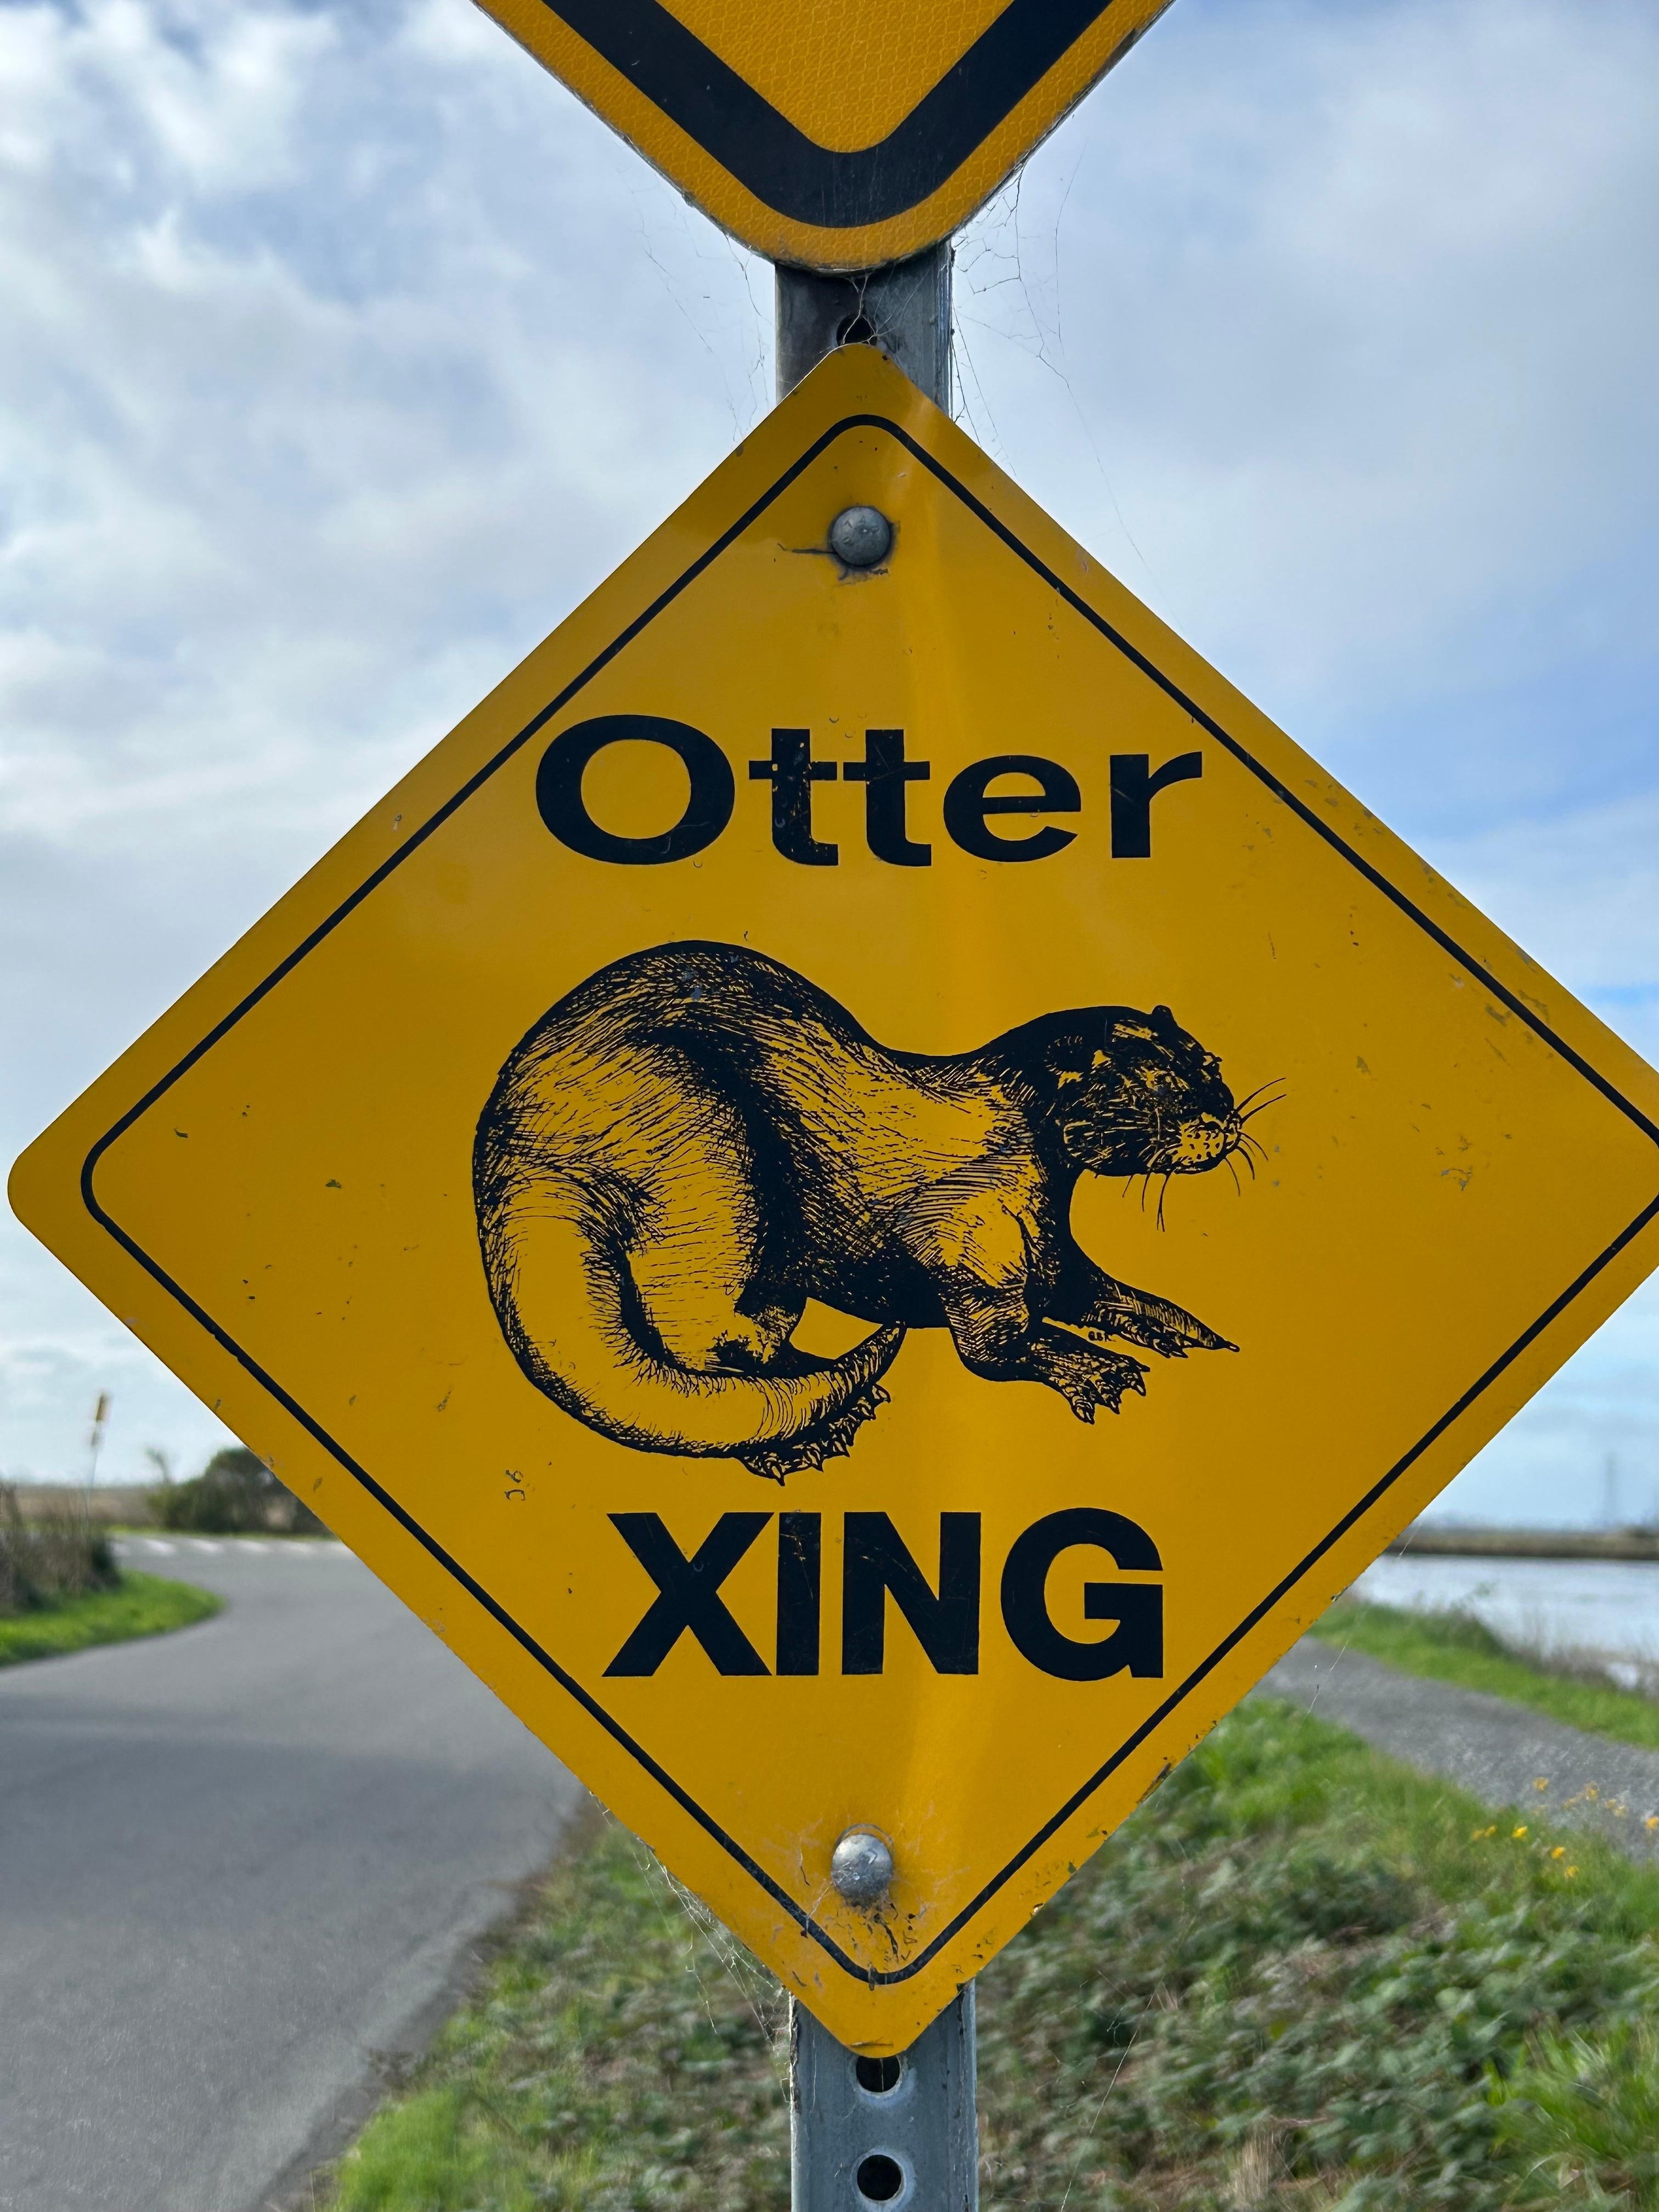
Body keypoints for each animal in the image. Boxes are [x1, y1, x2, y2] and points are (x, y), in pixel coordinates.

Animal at [474, 942, 1247, 1481]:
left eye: (1209, 1064)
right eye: (1150, 1088)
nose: (1223, 1120)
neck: (1007, 1150)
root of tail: (514, 1138)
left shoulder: (1049, 1246)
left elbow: (1097, 1291)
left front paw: (1190, 1333)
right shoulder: (965, 1244)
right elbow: (994, 1348)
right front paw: (1099, 1371)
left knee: (752, 1333)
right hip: (706, 1155)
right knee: (692, 1328)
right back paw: (806, 1437)